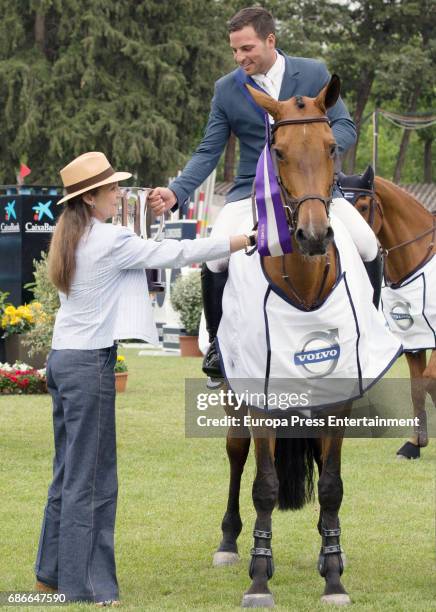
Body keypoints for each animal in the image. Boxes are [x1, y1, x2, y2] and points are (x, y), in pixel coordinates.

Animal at [208, 76, 402, 608]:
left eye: (333, 146)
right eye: (276, 151)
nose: (314, 235)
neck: (305, 283)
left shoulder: (339, 397)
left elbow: (332, 484)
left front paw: (333, 575)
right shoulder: (260, 400)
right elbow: (265, 485)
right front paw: (259, 578)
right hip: (234, 394)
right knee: (236, 455)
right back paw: (228, 543)